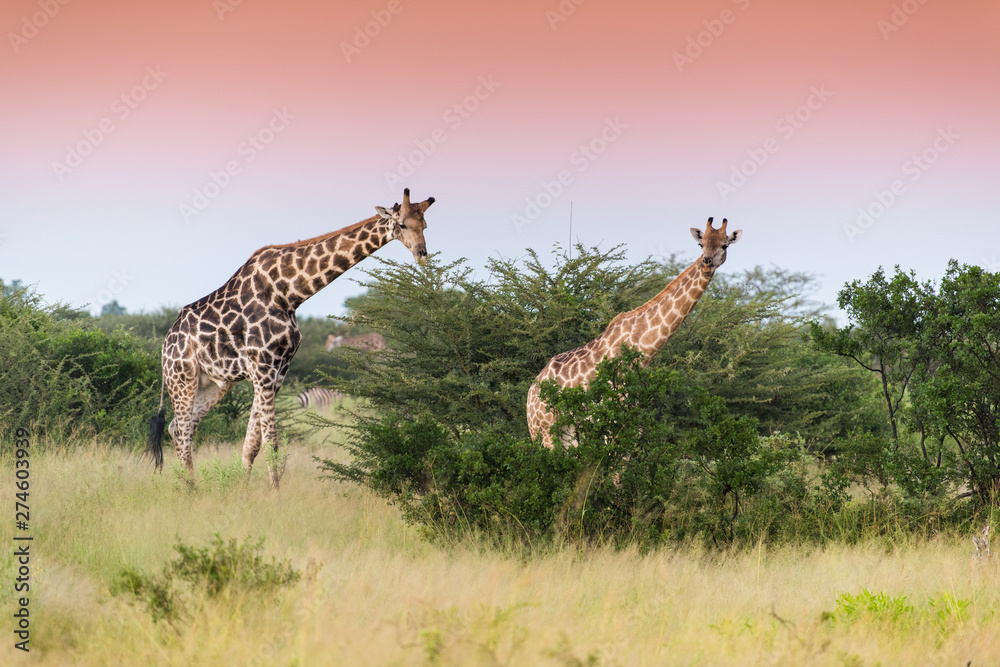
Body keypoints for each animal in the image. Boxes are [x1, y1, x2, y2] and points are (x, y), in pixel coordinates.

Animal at [146, 188, 435, 488]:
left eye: (425, 225)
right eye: (402, 224)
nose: (422, 253)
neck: (288, 293)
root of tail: (165, 345)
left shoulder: (278, 370)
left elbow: (252, 444)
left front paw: (245, 491)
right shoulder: (263, 367)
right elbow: (271, 443)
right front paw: (275, 496)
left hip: (215, 384)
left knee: (179, 427)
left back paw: (192, 485)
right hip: (183, 378)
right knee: (181, 430)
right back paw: (192, 489)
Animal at [526, 217, 742, 448]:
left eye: (724, 245)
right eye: (701, 245)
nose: (707, 263)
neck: (643, 348)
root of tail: (530, 394)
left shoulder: (632, 412)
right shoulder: (613, 411)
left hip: (570, 431)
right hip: (544, 432)